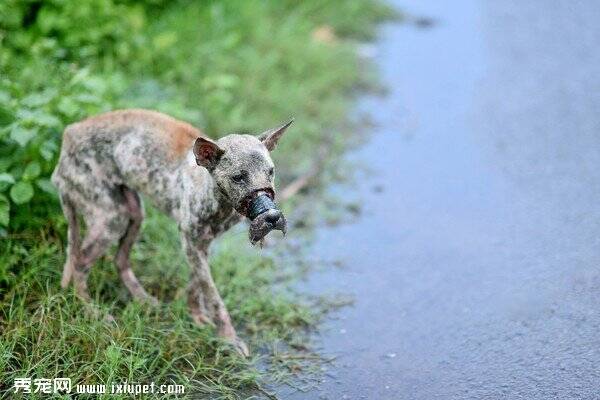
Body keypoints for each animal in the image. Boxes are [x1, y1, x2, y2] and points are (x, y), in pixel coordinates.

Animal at [52, 108, 292, 354]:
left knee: (118, 260)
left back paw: (144, 299)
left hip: (134, 213)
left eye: (271, 172)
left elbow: (196, 284)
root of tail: (69, 133)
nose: (272, 217)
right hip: (111, 219)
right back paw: (92, 311)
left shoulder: (201, 245)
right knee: (79, 261)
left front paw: (197, 317)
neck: (214, 195)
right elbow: (213, 296)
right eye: (238, 177)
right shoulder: (190, 242)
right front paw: (229, 339)